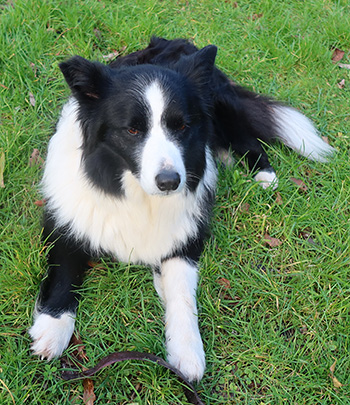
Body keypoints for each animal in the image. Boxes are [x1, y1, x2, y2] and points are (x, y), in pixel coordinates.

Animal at [28, 36, 334, 380]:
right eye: (132, 130)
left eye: (182, 127)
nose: (170, 182)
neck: (134, 194)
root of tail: (181, 42)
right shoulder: (66, 222)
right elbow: (63, 274)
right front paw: (53, 329)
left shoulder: (184, 240)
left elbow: (183, 297)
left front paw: (187, 352)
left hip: (220, 108)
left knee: (248, 141)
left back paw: (263, 176)